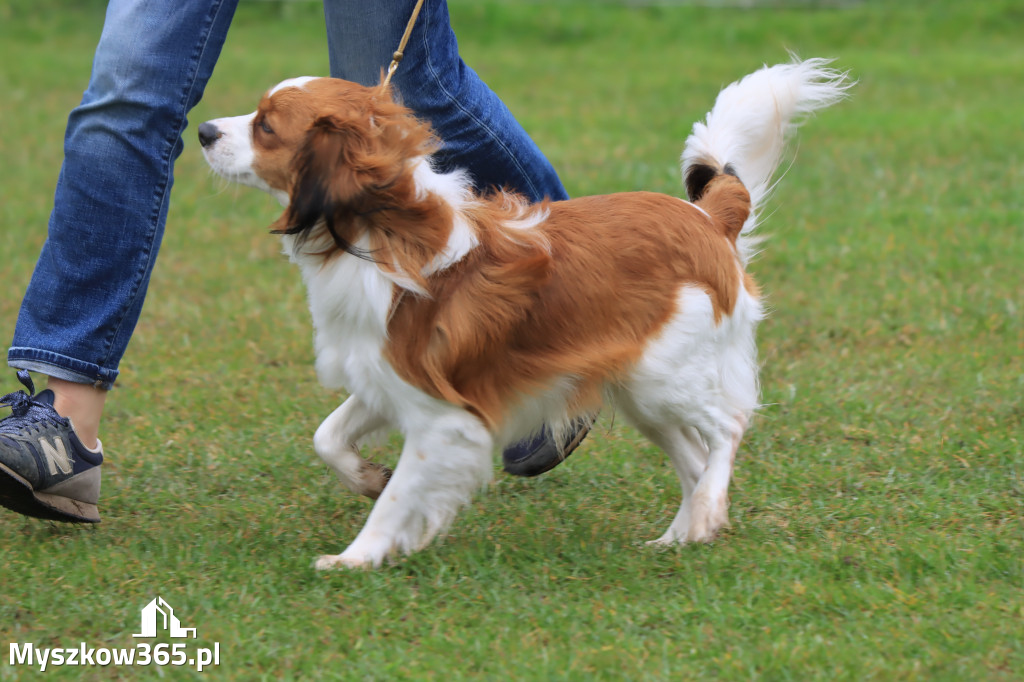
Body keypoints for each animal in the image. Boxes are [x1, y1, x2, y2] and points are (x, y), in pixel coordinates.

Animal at [197, 58, 847, 569]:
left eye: (266, 126)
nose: (201, 130)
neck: (383, 232)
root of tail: (706, 218)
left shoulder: (446, 418)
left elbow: (398, 498)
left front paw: (356, 556)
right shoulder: (389, 379)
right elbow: (327, 436)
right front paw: (365, 477)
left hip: (662, 376)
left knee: (726, 429)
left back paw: (707, 512)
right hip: (640, 390)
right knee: (694, 456)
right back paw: (681, 535)